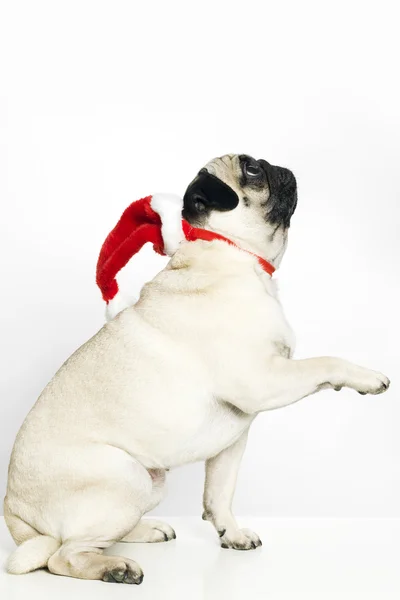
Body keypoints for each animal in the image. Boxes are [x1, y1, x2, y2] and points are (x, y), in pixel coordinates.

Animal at [3, 152, 390, 584]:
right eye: (252, 169)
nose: (279, 166)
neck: (233, 253)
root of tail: (15, 517)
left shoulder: (234, 438)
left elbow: (219, 494)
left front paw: (231, 534)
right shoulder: (263, 381)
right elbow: (325, 361)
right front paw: (366, 377)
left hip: (150, 484)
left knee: (94, 536)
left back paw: (145, 531)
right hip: (125, 477)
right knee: (63, 555)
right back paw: (114, 568)